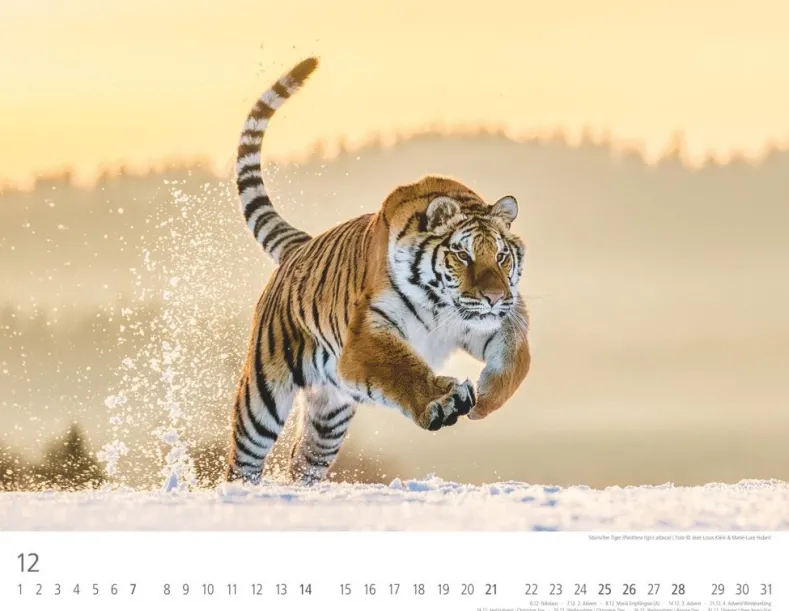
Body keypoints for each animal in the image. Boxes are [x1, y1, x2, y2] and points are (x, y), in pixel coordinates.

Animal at [227, 57, 531, 485]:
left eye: (502, 256)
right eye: (463, 254)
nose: (494, 297)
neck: (443, 305)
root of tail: (300, 245)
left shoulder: (500, 317)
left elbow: (517, 359)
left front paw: (486, 398)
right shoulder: (368, 335)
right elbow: (402, 367)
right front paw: (444, 399)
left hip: (329, 417)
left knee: (302, 460)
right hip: (263, 395)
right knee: (244, 459)